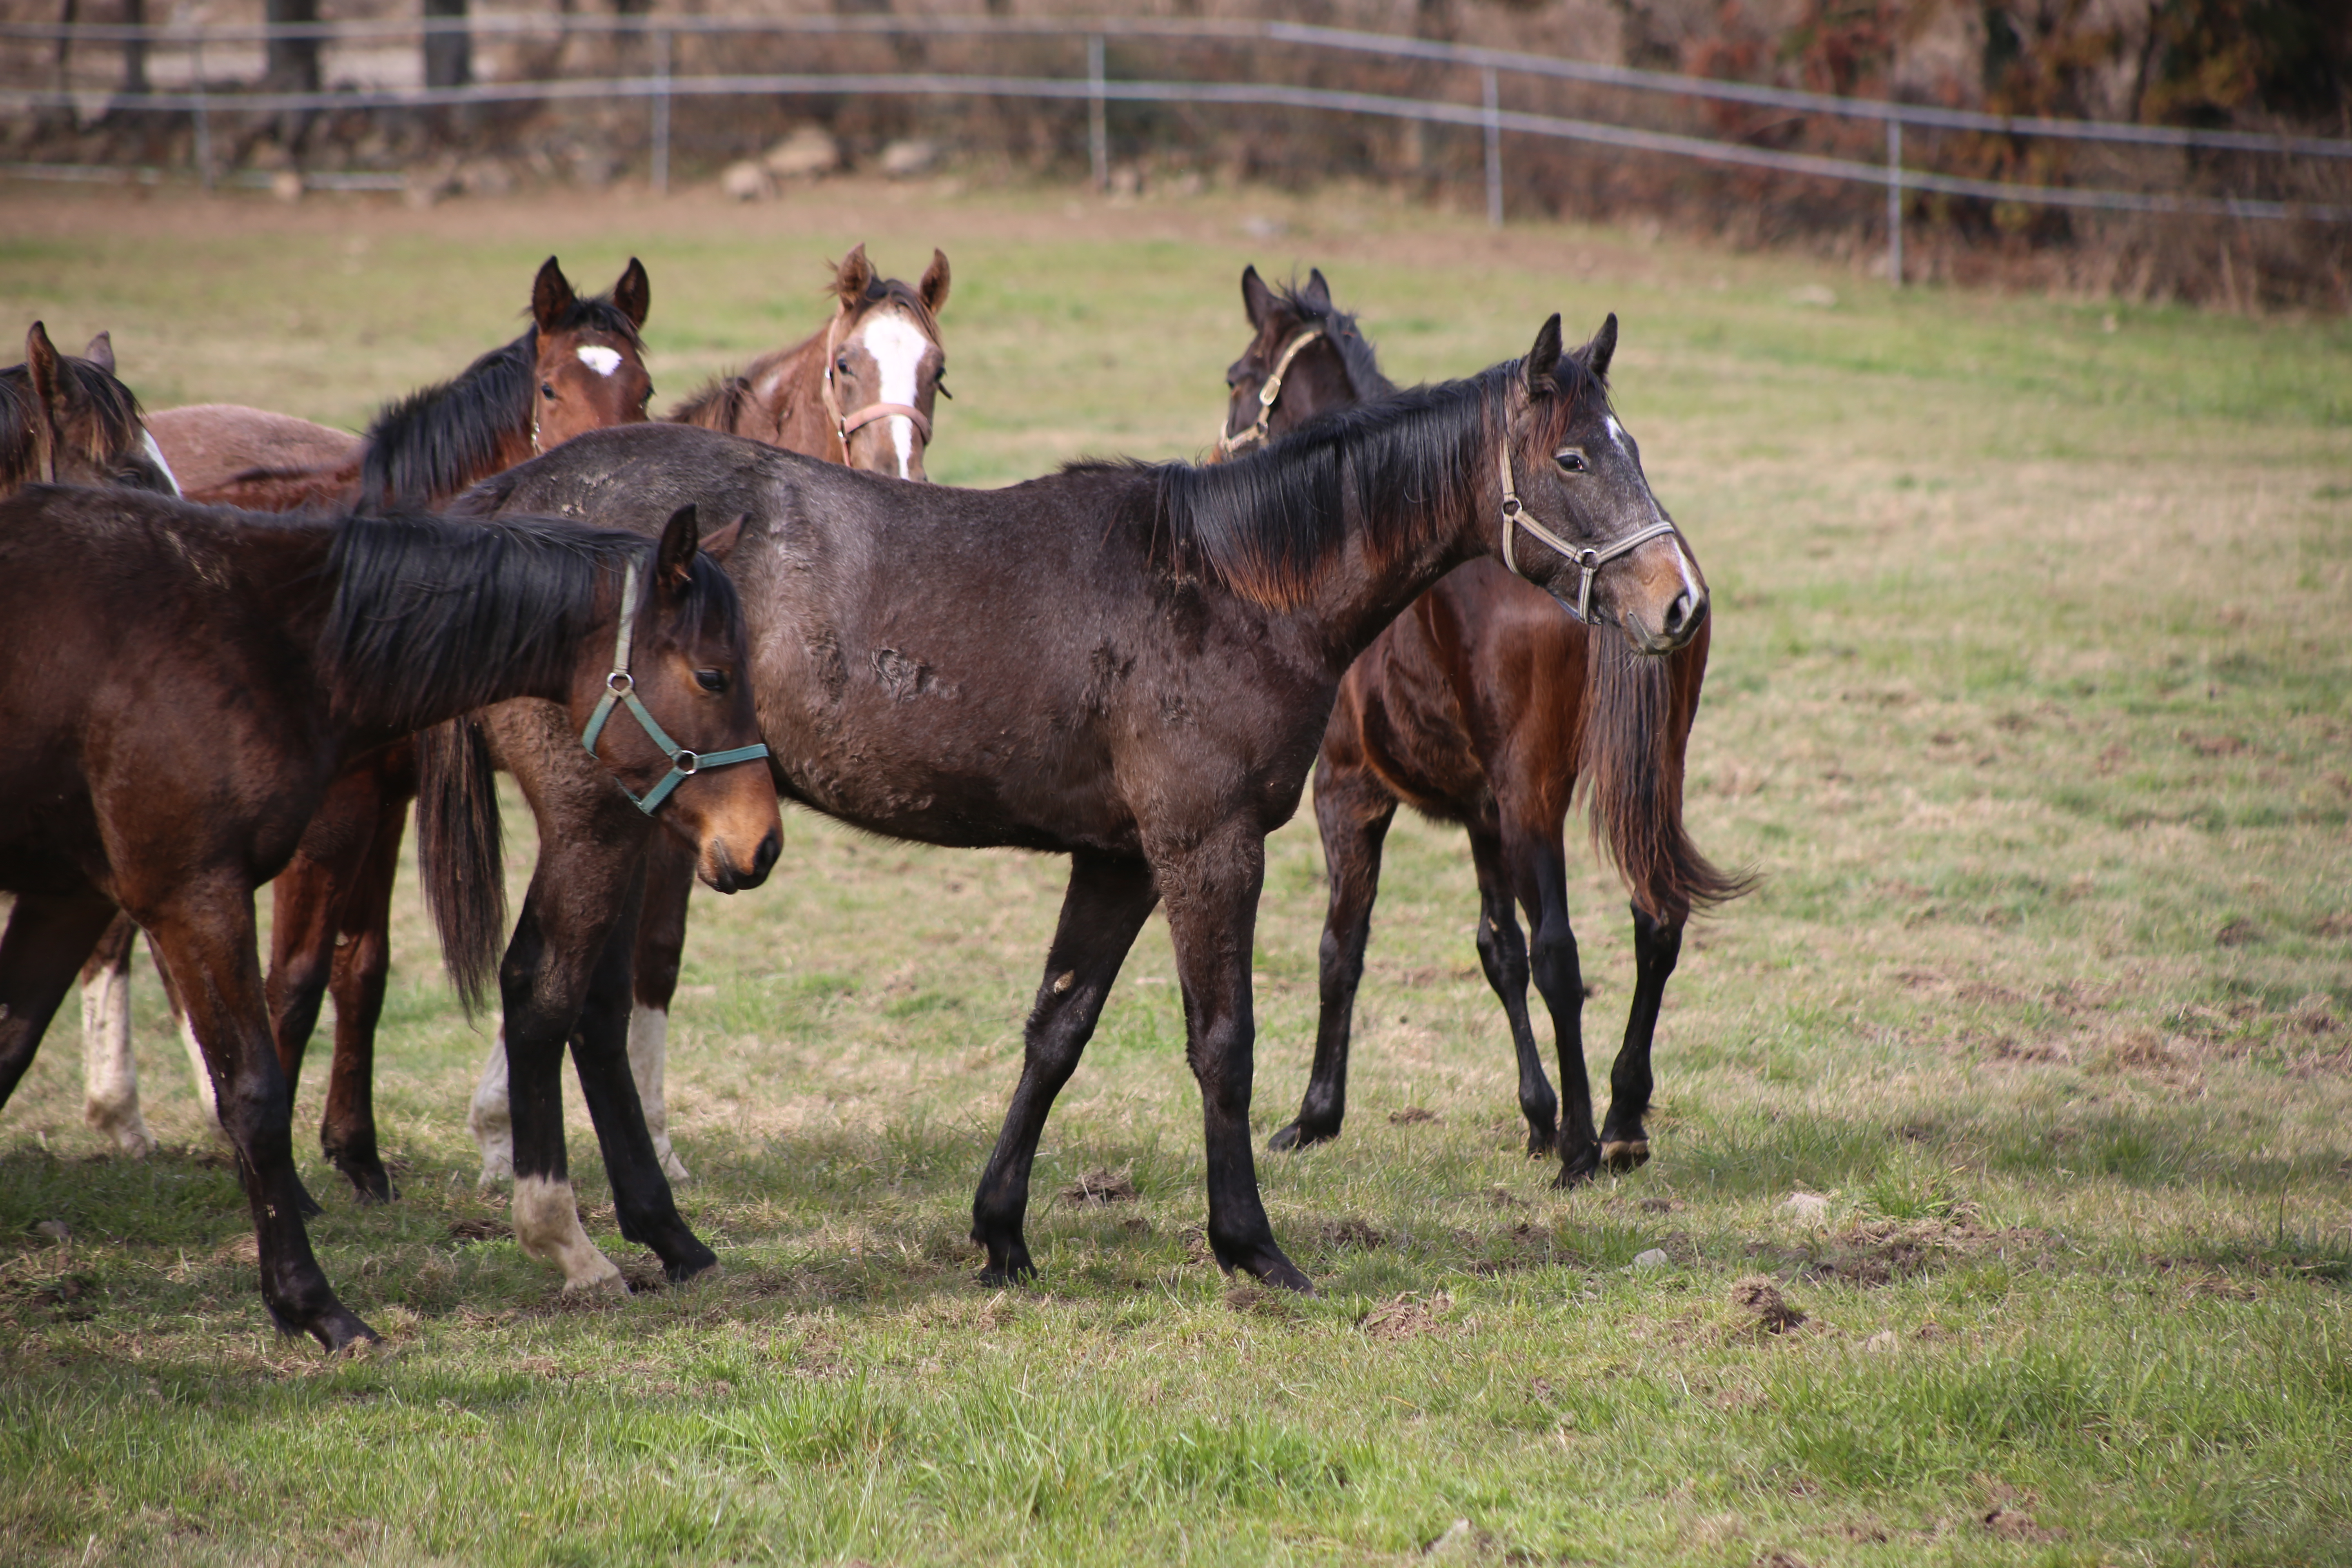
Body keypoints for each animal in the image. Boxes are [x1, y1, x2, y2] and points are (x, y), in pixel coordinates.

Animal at [0, 493, 776, 1354]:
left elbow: (10, 1049)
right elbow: (255, 1094)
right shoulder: (190, 894)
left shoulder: (71, 895)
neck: (262, 638)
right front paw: (314, 1306)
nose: (764, 841)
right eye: (713, 675)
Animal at [82, 257, 658, 1194]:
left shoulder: (387, 800)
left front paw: (354, 1152)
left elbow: (364, 969)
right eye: (550, 388)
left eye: (643, 390)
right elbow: (294, 979)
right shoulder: (331, 814)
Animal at [449, 312, 1712, 1297]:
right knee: (547, 990)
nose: (1679, 602)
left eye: (1630, 447)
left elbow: (1057, 1031)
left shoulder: (1119, 858)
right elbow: (1222, 1043)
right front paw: (1250, 1245)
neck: (1233, 586)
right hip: (592, 818)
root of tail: (508, 499)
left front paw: (1001, 1233)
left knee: (596, 1010)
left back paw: (670, 1235)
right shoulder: (1207, 848)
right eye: (1572, 459)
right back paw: (577, 1240)